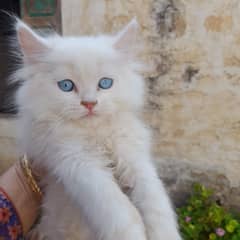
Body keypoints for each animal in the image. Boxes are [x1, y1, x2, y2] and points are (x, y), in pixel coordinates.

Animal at [14, 17, 181, 239]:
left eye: (105, 83)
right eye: (66, 86)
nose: (89, 103)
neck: (96, 135)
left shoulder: (134, 156)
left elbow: (155, 201)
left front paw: (165, 233)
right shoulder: (77, 162)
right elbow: (119, 210)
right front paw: (132, 234)